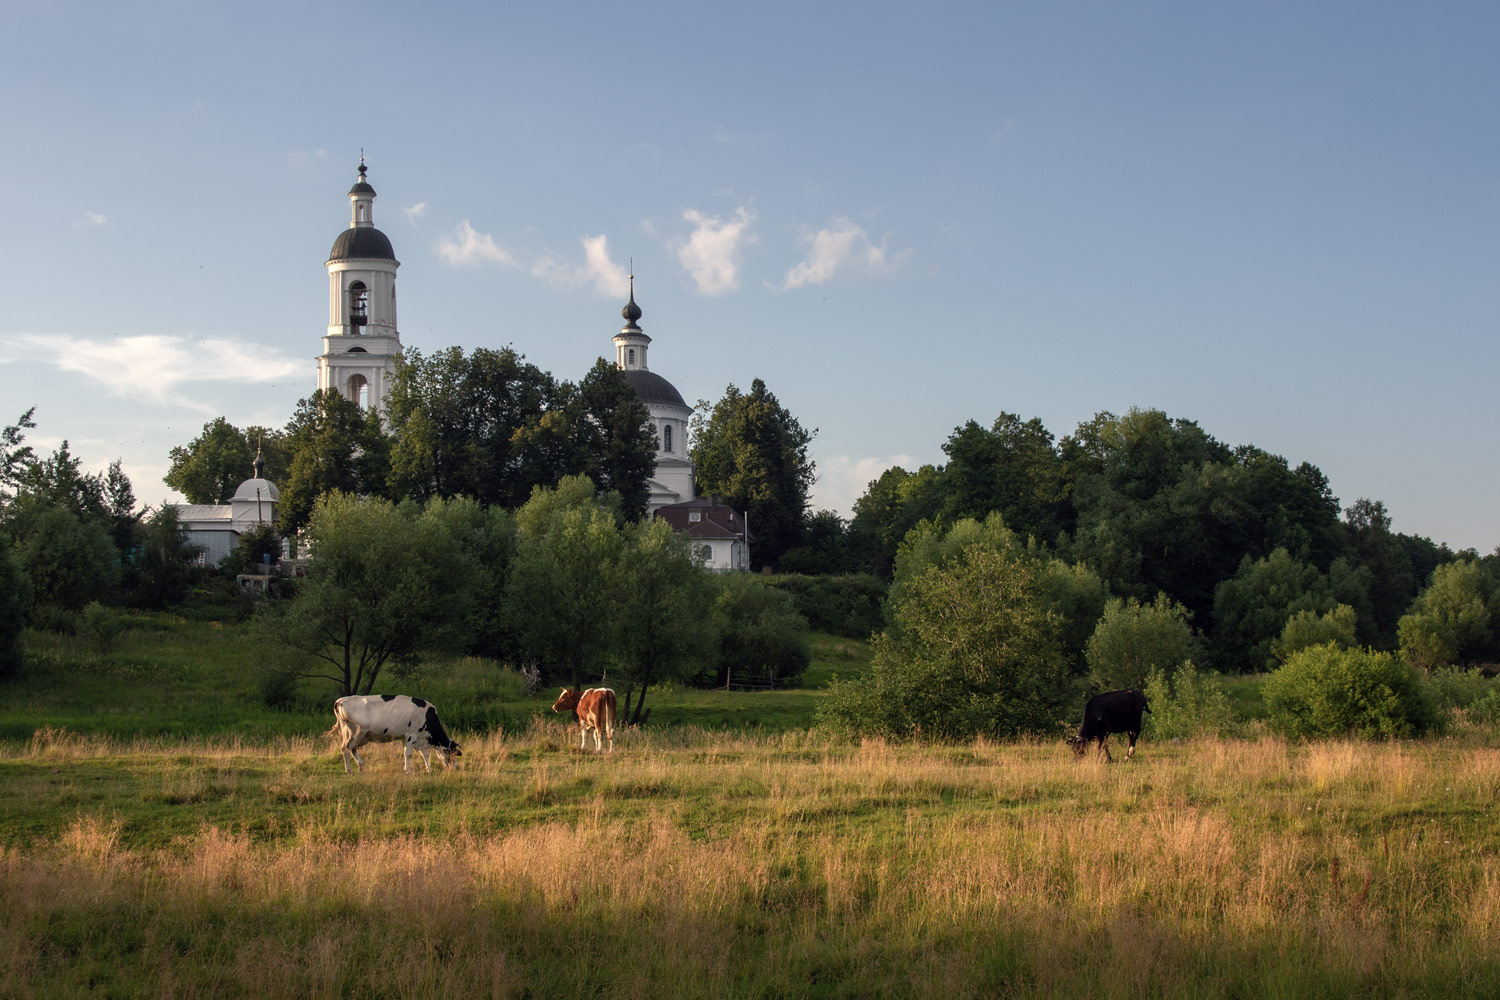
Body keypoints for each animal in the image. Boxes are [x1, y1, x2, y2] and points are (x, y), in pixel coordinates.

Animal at [334, 695, 462, 773]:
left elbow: (425, 754)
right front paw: (407, 770)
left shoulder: (421, 738)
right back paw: (350, 770)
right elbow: (408, 754)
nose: (456, 768)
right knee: (348, 748)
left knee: (348, 748)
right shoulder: (411, 735)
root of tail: (341, 700)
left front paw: (429, 769)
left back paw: (358, 767)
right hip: (357, 732)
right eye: (452, 753)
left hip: (348, 732)